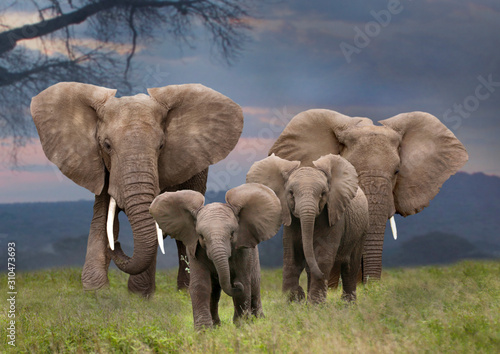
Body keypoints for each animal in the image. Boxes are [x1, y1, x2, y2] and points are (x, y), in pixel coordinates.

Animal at [30, 81, 243, 294]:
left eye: (161, 146)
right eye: (106, 145)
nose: (117, 245)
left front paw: (138, 294)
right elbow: (103, 219)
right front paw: (96, 290)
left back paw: (185, 290)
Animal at [148, 183, 282, 330]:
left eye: (232, 234)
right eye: (202, 236)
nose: (235, 284)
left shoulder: (243, 251)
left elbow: (244, 284)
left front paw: (242, 326)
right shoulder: (194, 248)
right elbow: (201, 285)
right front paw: (204, 331)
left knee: (254, 285)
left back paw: (258, 320)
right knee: (214, 292)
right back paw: (218, 325)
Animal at [248, 153, 370, 302]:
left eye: (323, 193)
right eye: (291, 193)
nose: (301, 293)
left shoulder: (334, 218)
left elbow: (323, 257)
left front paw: (315, 304)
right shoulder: (291, 222)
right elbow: (292, 257)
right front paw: (293, 301)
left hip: (362, 230)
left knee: (350, 266)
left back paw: (347, 304)